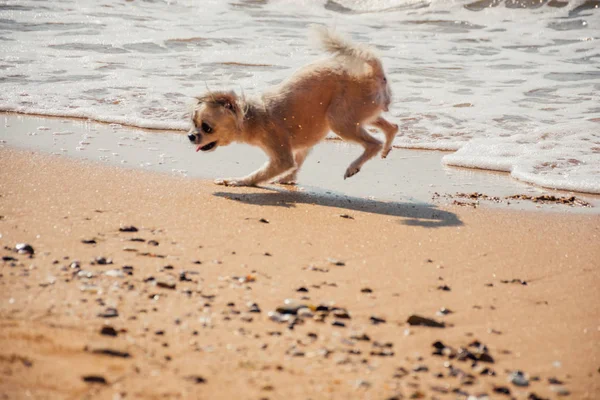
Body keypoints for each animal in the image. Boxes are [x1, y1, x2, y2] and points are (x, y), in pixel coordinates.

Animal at [188, 26, 398, 186]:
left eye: (206, 127)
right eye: (193, 123)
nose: (190, 136)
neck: (253, 116)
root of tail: (374, 72)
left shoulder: (281, 156)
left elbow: (263, 172)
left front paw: (237, 181)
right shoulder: (301, 148)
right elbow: (297, 162)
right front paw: (286, 179)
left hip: (339, 119)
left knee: (373, 144)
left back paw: (354, 166)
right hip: (362, 113)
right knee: (392, 127)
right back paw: (387, 146)